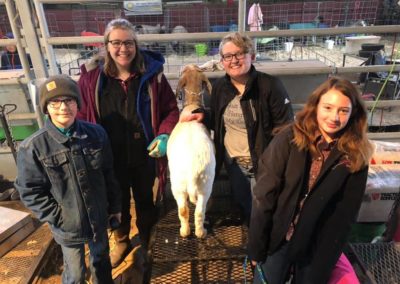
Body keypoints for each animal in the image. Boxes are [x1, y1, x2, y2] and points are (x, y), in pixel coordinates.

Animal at [166, 63, 216, 237]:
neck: (192, 107)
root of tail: (192, 169)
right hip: (201, 185)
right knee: (195, 211)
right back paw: (195, 232)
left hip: (180, 185)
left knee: (187, 210)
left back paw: (189, 232)